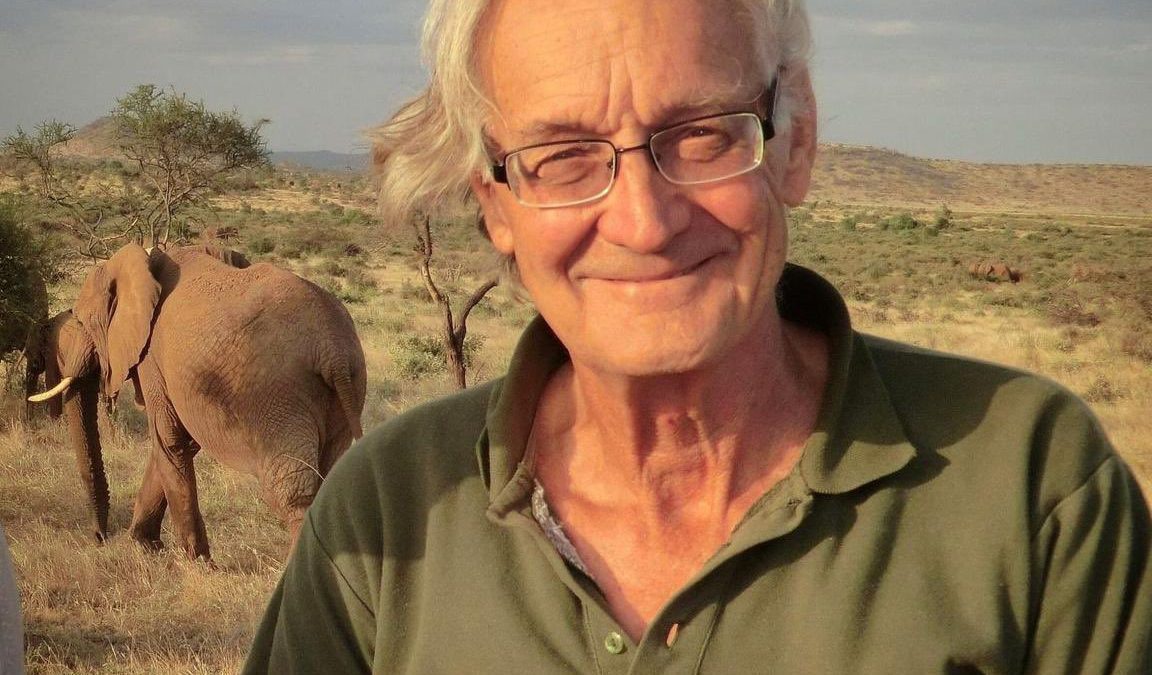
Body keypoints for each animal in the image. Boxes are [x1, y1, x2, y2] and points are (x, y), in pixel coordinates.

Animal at [30, 243, 367, 560]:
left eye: (85, 322)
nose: (99, 538)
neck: (147, 259)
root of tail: (333, 350)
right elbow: (179, 443)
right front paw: (144, 546)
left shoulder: (152, 357)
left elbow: (170, 441)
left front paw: (197, 562)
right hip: (344, 390)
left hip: (279, 395)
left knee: (291, 492)